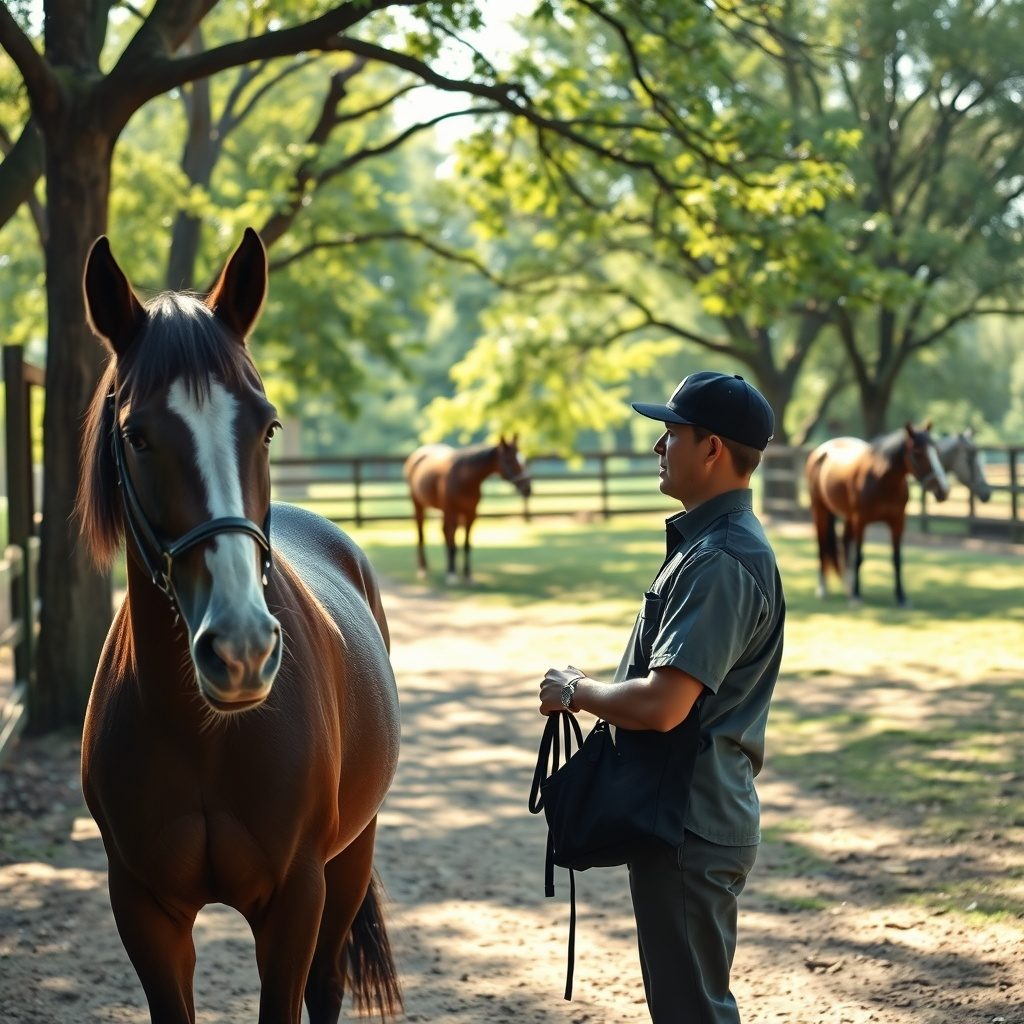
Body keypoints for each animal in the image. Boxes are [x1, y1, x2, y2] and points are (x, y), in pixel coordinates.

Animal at [76, 228, 402, 1024]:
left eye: (267, 426)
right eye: (137, 436)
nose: (243, 650)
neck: (204, 737)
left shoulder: (295, 901)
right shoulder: (144, 910)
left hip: (352, 860)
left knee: (327, 985)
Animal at [403, 439, 531, 583]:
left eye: (523, 459)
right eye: (509, 460)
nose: (528, 489)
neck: (465, 479)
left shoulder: (471, 514)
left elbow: (466, 545)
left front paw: (467, 574)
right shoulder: (451, 512)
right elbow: (453, 545)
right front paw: (452, 575)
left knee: (444, 532)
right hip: (418, 505)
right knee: (421, 535)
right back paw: (423, 570)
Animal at [805, 422, 951, 606]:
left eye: (936, 451)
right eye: (917, 453)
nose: (943, 490)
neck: (881, 480)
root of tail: (821, 450)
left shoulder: (898, 522)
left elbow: (896, 559)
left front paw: (901, 597)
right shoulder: (860, 522)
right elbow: (859, 558)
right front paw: (857, 595)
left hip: (848, 518)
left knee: (845, 544)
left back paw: (848, 586)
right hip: (820, 510)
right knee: (822, 544)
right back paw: (824, 589)